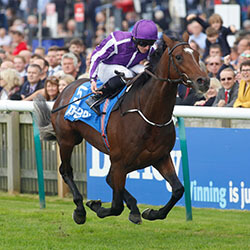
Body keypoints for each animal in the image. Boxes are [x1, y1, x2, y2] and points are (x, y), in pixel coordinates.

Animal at [33, 32, 209, 226]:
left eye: (197, 55)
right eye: (178, 57)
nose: (203, 81)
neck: (148, 112)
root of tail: (65, 89)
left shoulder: (160, 157)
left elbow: (178, 189)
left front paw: (151, 213)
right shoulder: (119, 161)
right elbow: (116, 205)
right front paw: (97, 207)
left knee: (109, 179)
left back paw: (133, 209)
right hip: (67, 140)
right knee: (66, 171)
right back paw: (80, 210)